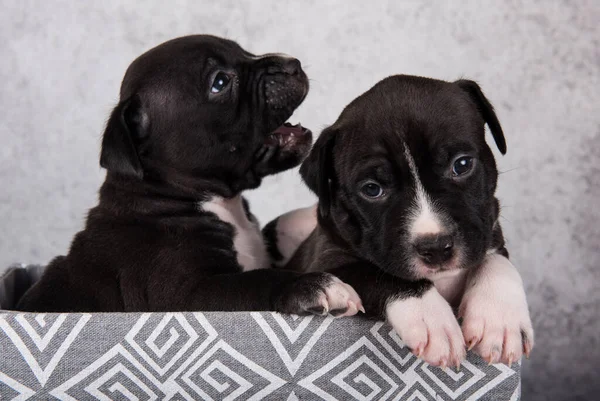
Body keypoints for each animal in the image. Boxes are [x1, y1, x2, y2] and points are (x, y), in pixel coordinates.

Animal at [15, 35, 360, 316]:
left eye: (244, 51)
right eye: (220, 82)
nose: (292, 64)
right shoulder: (186, 295)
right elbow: (255, 281)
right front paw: (314, 286)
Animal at [266, 74, 536, 366]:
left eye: (462, 165)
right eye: (372, 189)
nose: (435, 247)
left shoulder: (488, 232)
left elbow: (498, 261)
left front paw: (500, 319)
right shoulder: (330, 261)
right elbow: (381, 274)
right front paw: (432, 319)